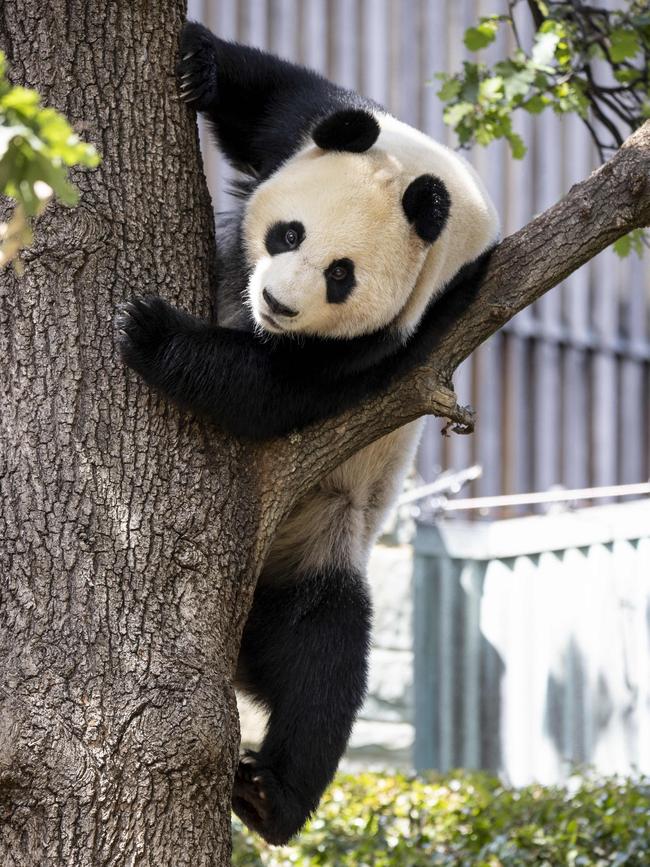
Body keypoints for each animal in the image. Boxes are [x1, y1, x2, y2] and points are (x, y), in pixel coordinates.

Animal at [116, 22, 496, 848]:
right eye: (289, 232)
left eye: (341, 275)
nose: (278, 304)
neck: (439, 193)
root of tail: (236, 647)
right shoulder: (323, 125)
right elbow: (270, 99)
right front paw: (198, 61)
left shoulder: (420, 321)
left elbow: (277, 389)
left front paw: (149, 333)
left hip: (318, 544)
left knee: (323, 658)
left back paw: (272, 795)